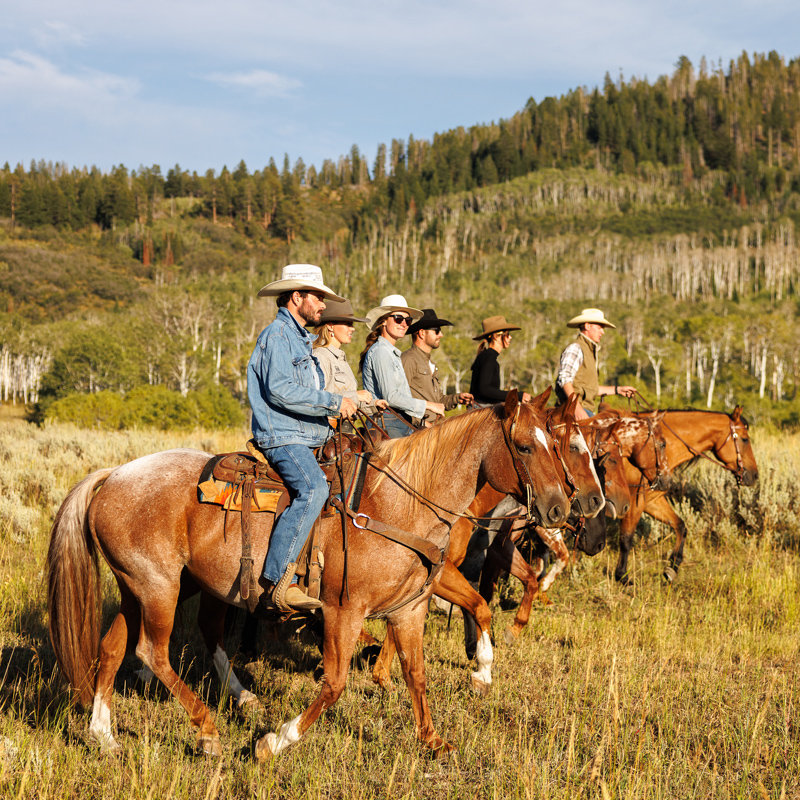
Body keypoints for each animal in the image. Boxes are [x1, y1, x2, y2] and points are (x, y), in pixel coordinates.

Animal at [47, 390, 568, 760]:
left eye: (555, 445)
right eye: (525, 446)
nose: (560, 508)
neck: (399, 504)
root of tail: (114, 474)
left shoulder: (410, 609)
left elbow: (416, 673)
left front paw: (433, 740)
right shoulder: (343, 611)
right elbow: (335, 683)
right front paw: (275, 741)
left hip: (138, 587)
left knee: (113, 647)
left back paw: (105, 735)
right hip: (160, 588)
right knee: (152, 652)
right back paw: (208, 730)